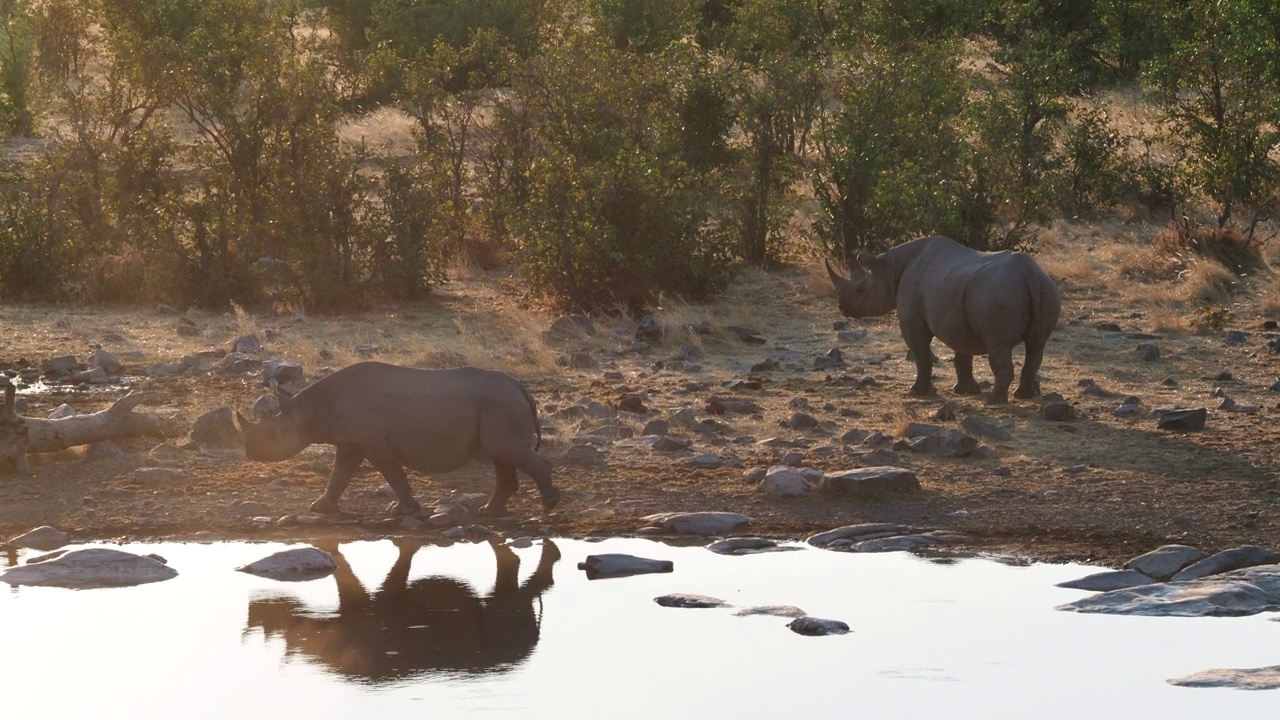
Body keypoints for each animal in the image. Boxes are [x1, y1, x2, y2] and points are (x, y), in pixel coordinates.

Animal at [238, 361, 558, 512]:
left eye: (271, 434)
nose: (249, 452)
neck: (309, 410)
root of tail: (520, 387)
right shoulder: (351, 442)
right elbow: (339, 474)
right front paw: (320, 509)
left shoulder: (373, 442)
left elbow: (392, 473)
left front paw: (403, 510)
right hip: (498, 403)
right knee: (501, 453)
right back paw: (489, 512)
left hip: (500, 403)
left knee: (506, 450)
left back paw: (548, 505)